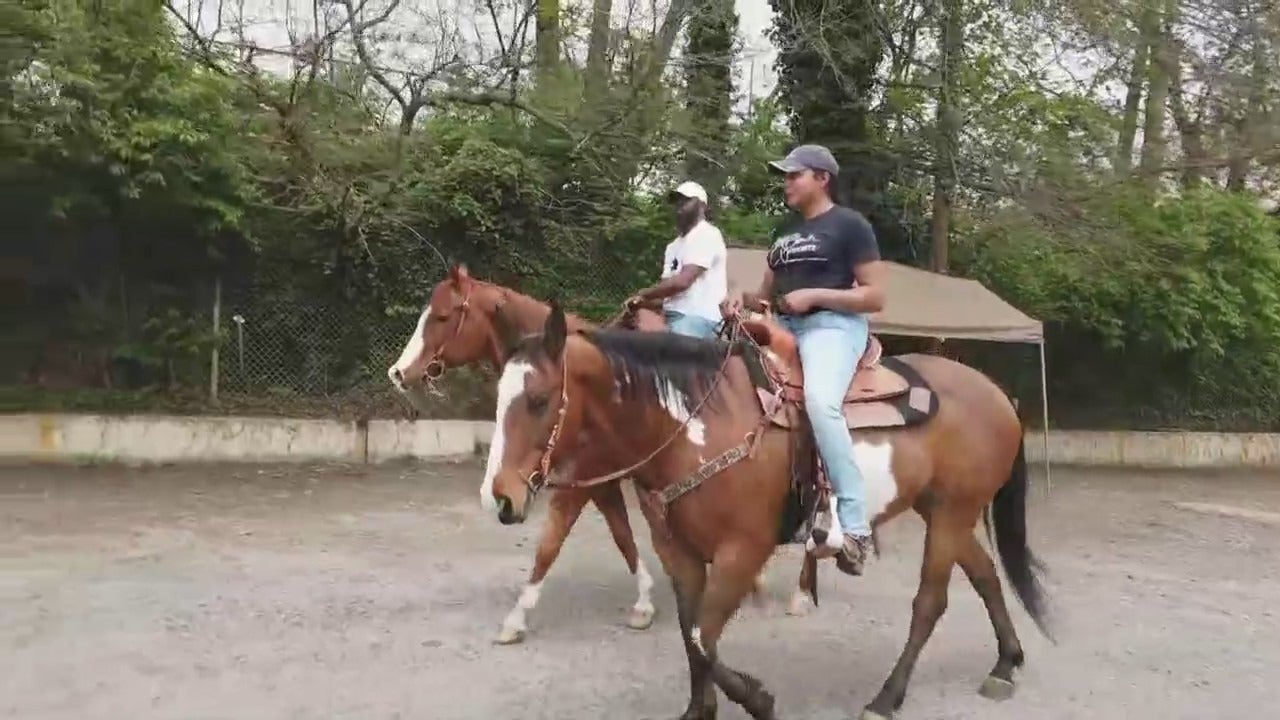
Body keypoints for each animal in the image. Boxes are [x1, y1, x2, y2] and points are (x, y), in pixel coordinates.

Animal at [384, 265, 814, 645]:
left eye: (442, 315)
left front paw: (516, 618)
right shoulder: (600, 482)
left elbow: (550, 544)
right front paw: (644, 602)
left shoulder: (580, 483)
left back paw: (800, 593)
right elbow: (622, 536)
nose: (397, 372)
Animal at [483, 301, 1054, 717]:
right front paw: (700, 711)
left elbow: (703, 637)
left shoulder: (743, 551)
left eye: (538, 399)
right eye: (498, 396)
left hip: (953, 512)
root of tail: (997, 394)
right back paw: (1005, 664)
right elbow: (692, 637)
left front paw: (758, 699)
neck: (693, 425)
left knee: (930, 603)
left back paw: (886, 699)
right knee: (985, 573)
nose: (502, 496)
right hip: (942, 510)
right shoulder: (677, 551)